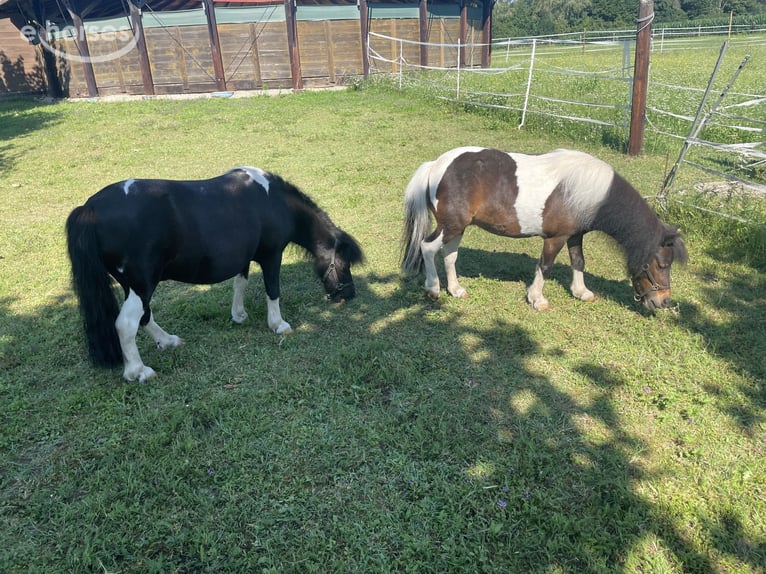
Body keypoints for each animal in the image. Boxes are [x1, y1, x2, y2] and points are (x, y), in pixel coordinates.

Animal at [66, 166, 364, 383]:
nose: (349, 295)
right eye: (343, 264)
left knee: (145, 318)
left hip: (136, 286)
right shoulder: (271, 256)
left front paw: (239, 315)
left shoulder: (243, 258)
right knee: (127, 324)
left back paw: (168, 341)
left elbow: (240, 284)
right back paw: (138, 371)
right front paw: (278, 325)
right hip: (141, 285)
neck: (272, 200)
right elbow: (273, 290)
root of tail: (90, 208)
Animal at [401, 147, 688, 311]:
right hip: (451, 226)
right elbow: (545, 266)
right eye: (662, 265)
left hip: (457, 228)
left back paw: (456, 290)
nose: (664, 302)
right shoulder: (555, 238)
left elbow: (578, 262)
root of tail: (436, 165)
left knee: (450, 255)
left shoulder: (575, 235)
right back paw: (433, 289)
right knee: (428, 248)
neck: (590, 191)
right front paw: (537, 298)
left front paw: (581, 292)